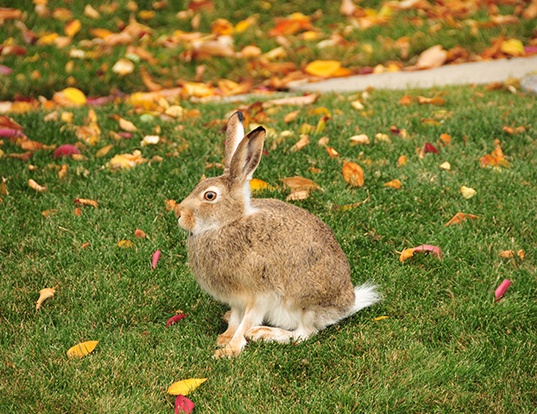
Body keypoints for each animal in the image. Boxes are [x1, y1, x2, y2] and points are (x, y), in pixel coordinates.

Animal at [175, 111, 376, 358]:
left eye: (210, 196)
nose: (179, 214)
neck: (226, 223)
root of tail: (347, 305)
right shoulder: (237, 299)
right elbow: (235, 317)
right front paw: (224, 338)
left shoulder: (261, 295)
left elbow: (247, 320)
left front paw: (230, 350)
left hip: (304, 304)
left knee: (303, 334)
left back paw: (262, 333)